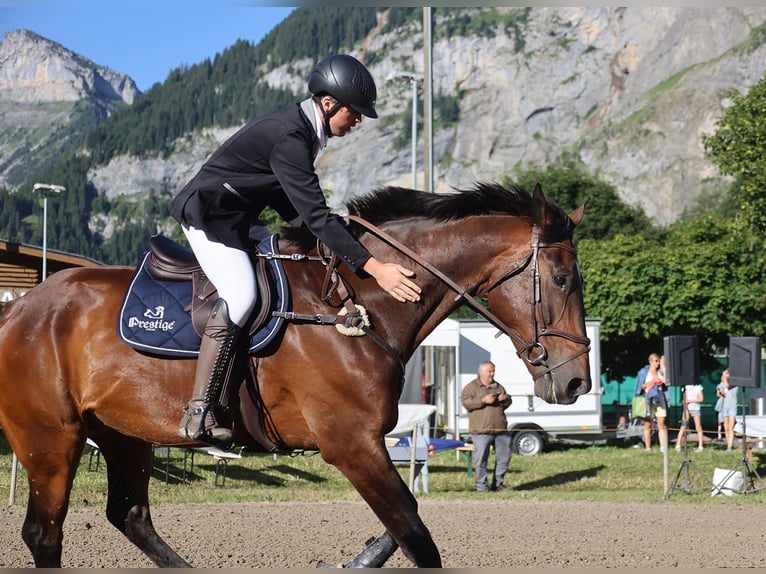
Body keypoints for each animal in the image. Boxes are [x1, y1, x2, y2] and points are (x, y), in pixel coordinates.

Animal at [0, 182, 592, 568]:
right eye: (563, 279)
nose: (576, 384)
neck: (364, 302)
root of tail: (19, 307)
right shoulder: (349, 442)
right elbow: (415, 533)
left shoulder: (363, 445)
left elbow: (402, 526)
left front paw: (355, 561)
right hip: (51, 438)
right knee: (45, 533)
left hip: (122, 434)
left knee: (130, 516)